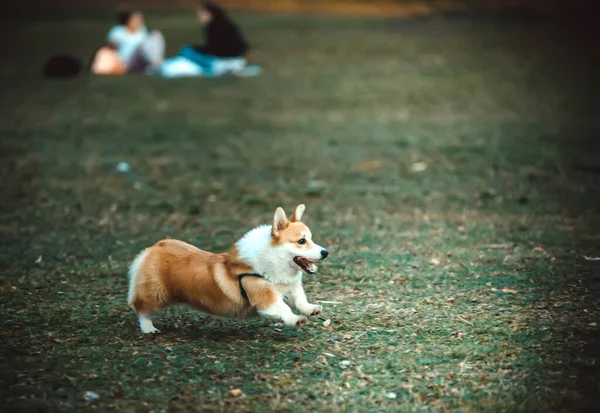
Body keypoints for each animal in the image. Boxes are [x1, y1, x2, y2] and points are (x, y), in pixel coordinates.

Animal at [127, 204, 330, 334]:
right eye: (301, 241)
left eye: (311, 239)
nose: (325, 252)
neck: (274, 260)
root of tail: (156, 246)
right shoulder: (264, 296)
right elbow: (283, 309)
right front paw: (296, 319)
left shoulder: (291, 288)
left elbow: (300, 301)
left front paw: (311, 309)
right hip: (157, 294)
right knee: (140, 307)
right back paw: (148, 328)